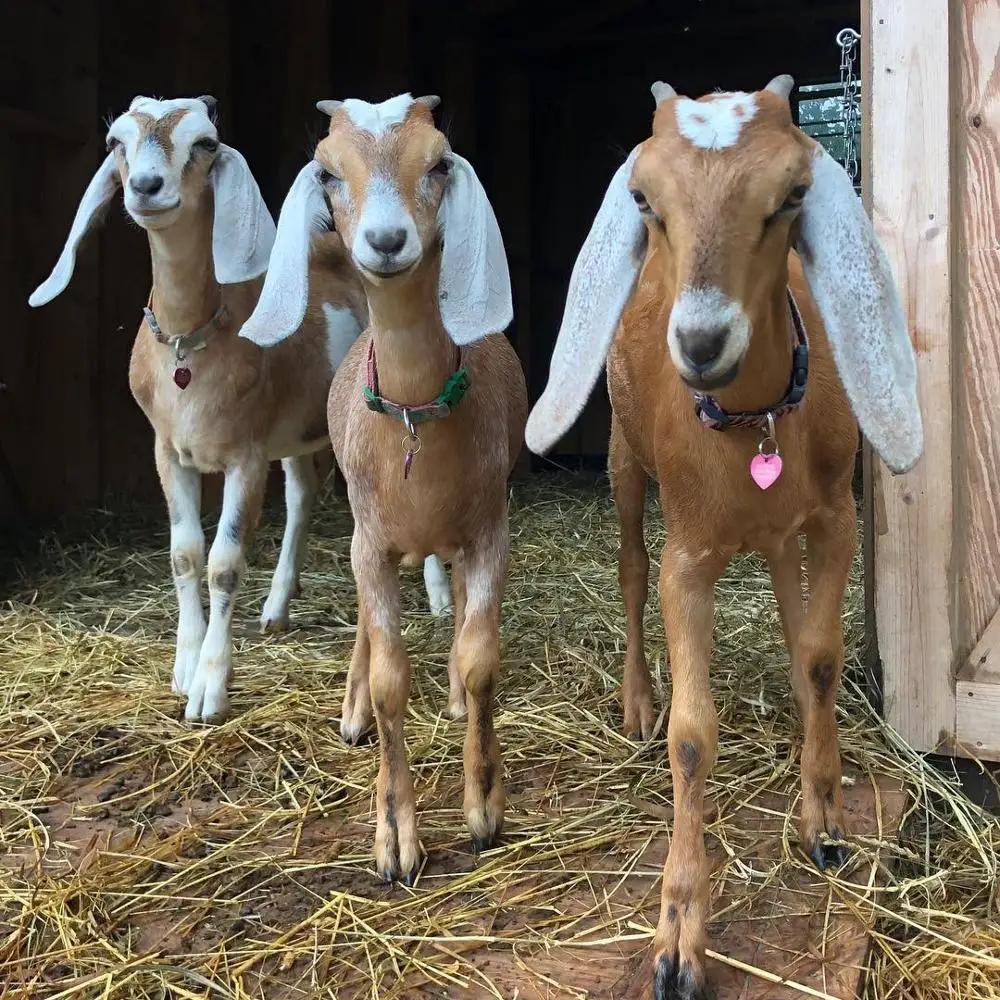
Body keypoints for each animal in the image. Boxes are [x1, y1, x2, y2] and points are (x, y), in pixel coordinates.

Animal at [28, 94, 453, 723]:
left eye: (205, 143)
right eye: (116, 143)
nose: (147, 187)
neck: (189, 345)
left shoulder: (244, 457)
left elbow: (224, 563)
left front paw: (209, 688)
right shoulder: (167, 451)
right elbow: (184, 554)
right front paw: (183, 667)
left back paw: (440, 595)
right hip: (298, 429)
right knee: (301, 494)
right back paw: (277, 606)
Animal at [240, 93, 527, 883]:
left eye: (438, 162)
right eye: (327, 171)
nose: (388, 239)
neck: (415, 420)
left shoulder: (489, 530)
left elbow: (480, 658)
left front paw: (483, 803)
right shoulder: (368, 544)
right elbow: (391, 675)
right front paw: (396, 835)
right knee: (371, 629)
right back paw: (353, 712)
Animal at [524, 76, 922, 999]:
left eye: (794, 194)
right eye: (642, 198)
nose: (701, 343)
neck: (749, 424)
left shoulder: (835, 520)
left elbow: (820, 658)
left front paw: (824, 813)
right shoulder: (691, 558)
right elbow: (692, 733)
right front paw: (678, 938)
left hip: (780, 533)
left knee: (789, 610)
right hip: (625, 462)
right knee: (630, 569)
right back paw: (637, 698)